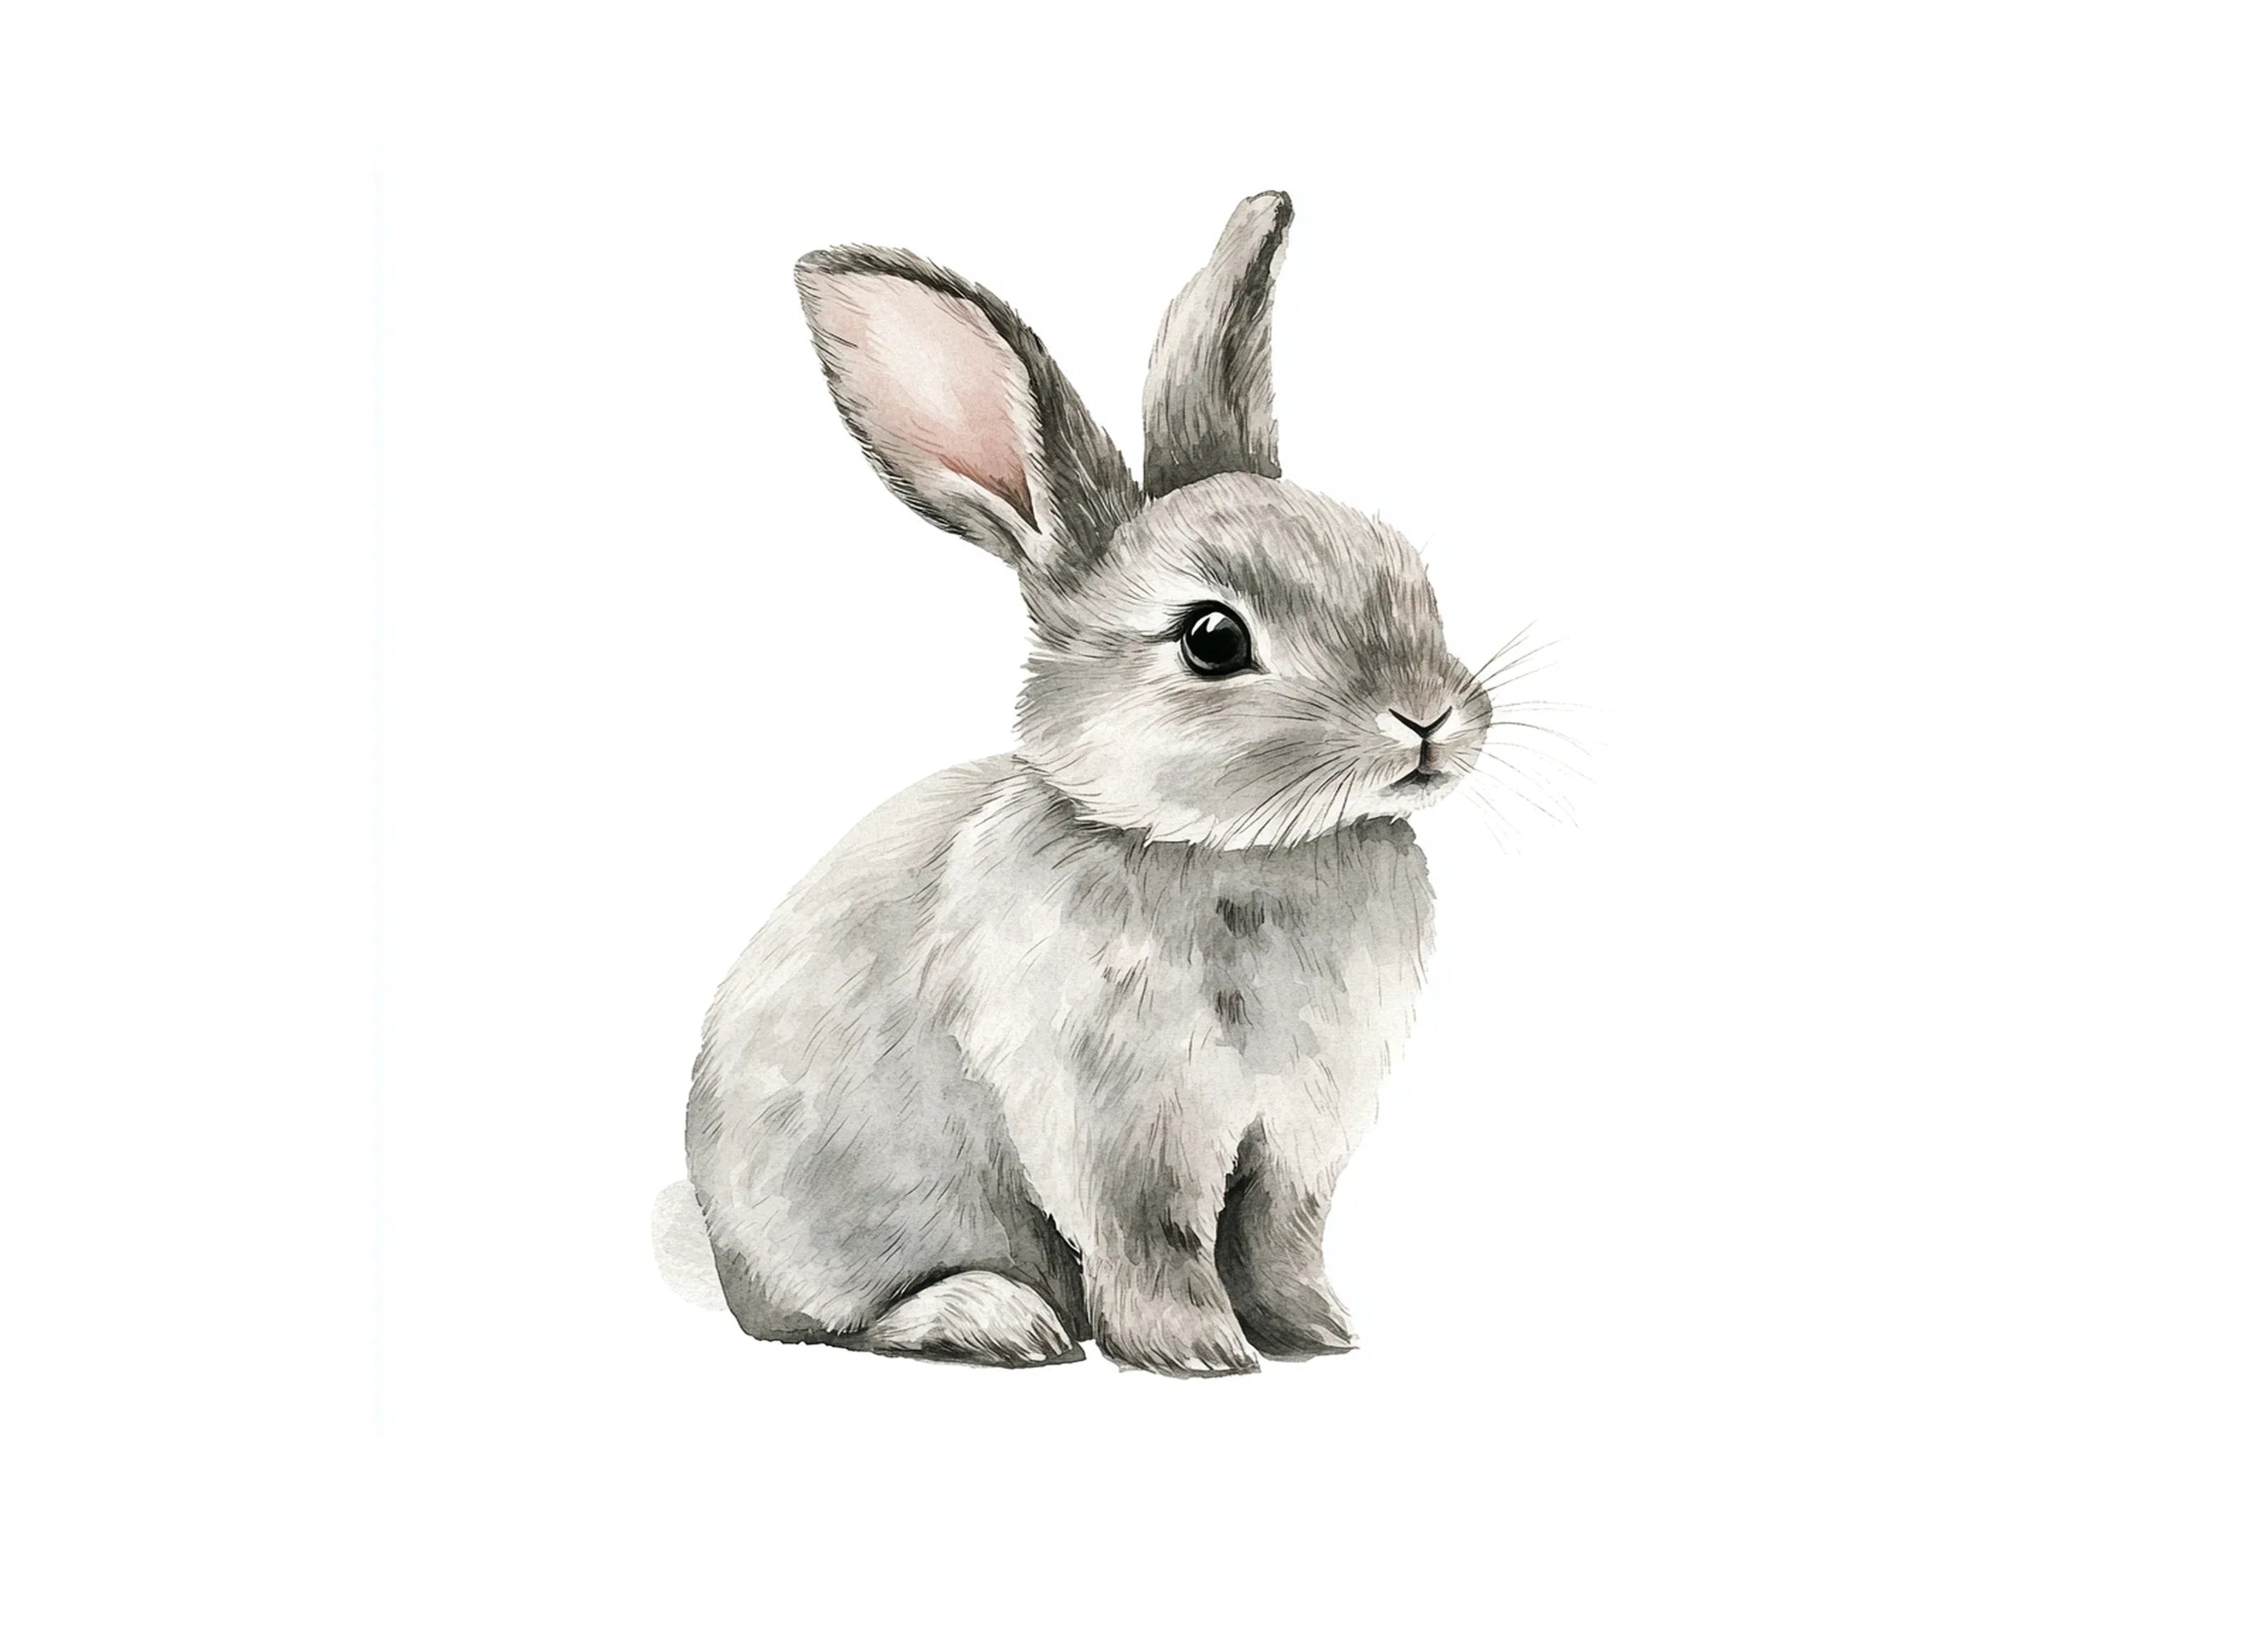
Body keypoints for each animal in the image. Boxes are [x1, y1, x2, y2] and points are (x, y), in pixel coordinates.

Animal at [684, 191, 1495, 1375]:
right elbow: (1153, 1238)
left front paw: (1317, 1331)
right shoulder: (1119, 1127)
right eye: (1211, 639)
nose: (1430, 718)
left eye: (1401, 568)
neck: (1229, 848)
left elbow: (1281, 1237)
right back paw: (994, 1315)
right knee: (837, 1321)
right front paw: (1198, 1353)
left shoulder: (1294, 1138)